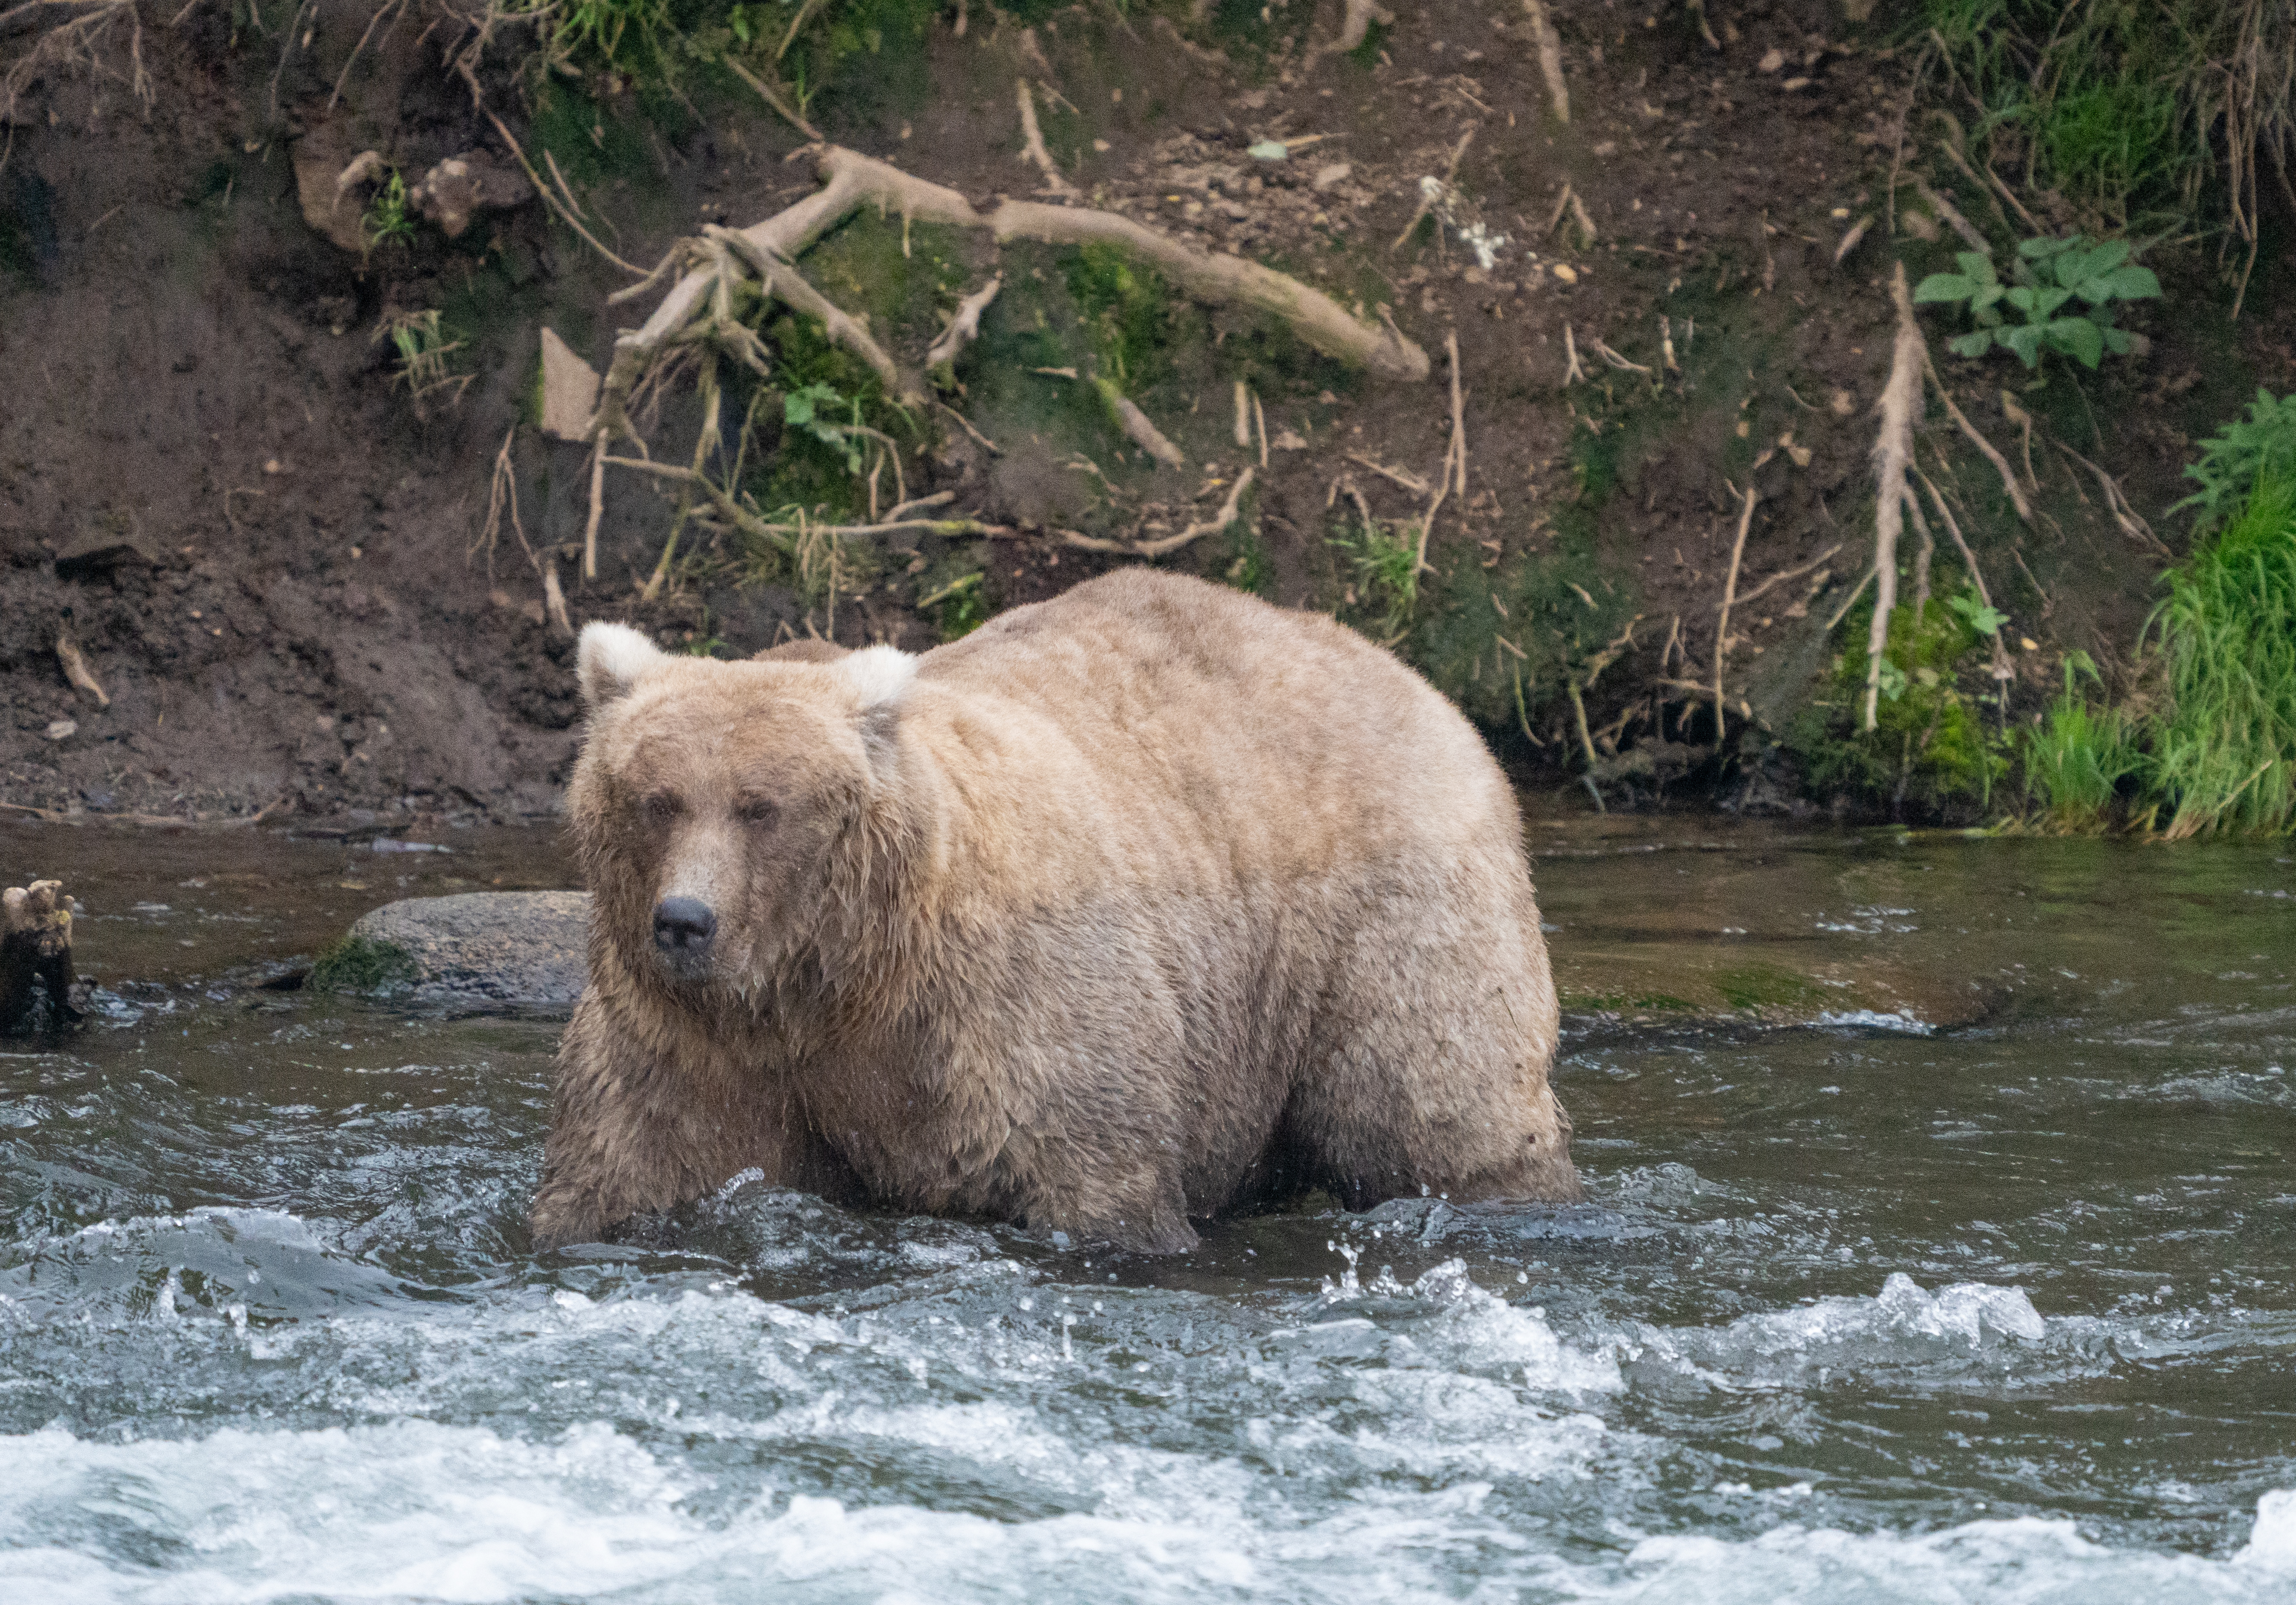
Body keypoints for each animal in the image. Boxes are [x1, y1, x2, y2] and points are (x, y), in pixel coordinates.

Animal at [533, 572, 1579, 1258]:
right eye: (657, 798)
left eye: (760, 805)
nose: (685, 920)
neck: (834, 980)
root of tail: (1405, 674)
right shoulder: (690, 1042)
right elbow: (631, 1166)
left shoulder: (1007, 1010)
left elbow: (1091, 1172)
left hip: (1384, 915)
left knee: (1434, 1105)